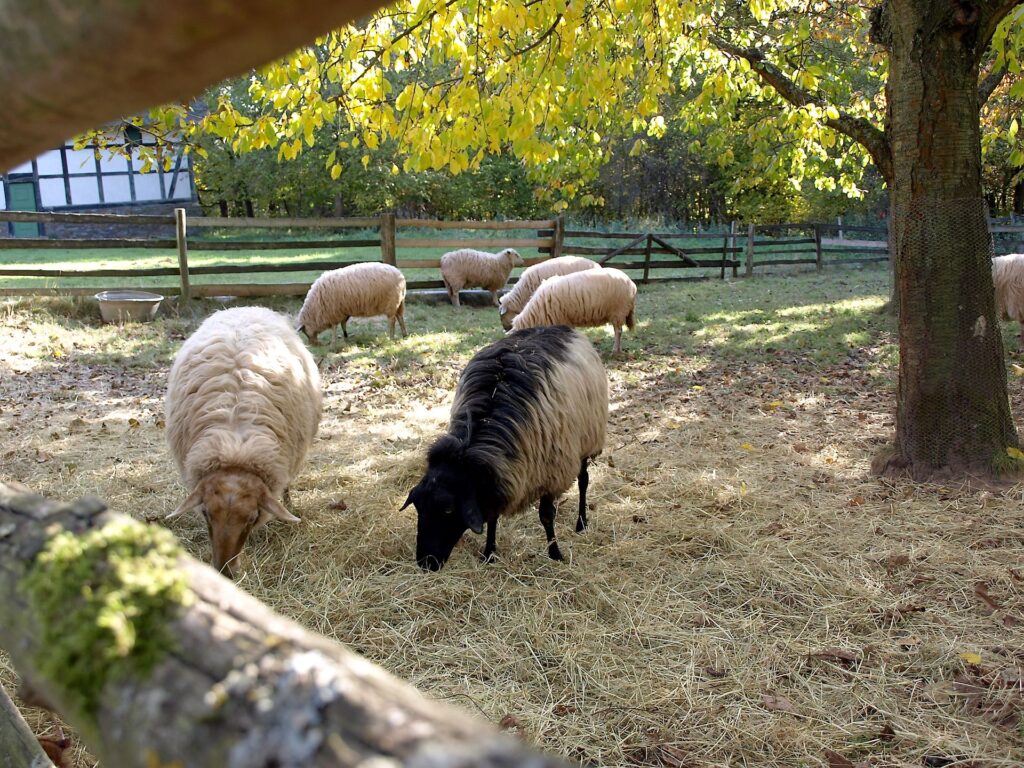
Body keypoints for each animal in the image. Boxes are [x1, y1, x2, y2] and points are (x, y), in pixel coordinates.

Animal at [402, 325, 607, 570]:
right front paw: (489, 553)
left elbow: (546, 515)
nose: (426, 563)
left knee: (584, 480)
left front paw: (555, 553)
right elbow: (492, 516)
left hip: (588, 439)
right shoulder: (495, 478)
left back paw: (581, 523)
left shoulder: (551, 472)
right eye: (417, 506)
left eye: (448, 509)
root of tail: (560, 327)